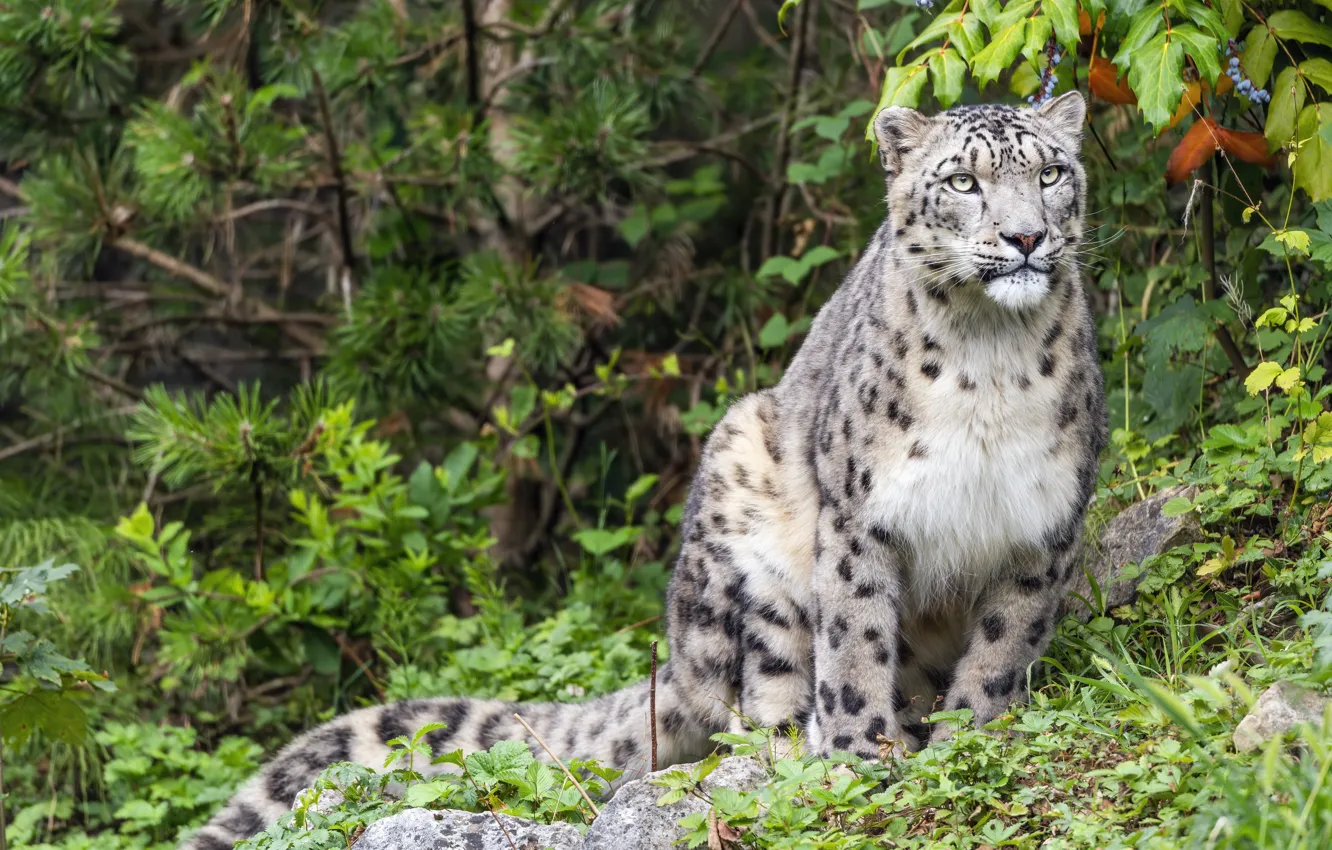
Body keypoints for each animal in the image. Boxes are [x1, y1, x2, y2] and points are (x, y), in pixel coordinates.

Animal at [182, 90, 1106, 849]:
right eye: (964, 181)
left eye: (1051, 172)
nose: (1026, 237)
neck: (989, 364)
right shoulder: (861, 520)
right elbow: (854, 647)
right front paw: (856, 759)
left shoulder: (1044, 528)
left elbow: (997, 656)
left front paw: (967, 745)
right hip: (740, 505)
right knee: (750, 698)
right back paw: (789, 753)